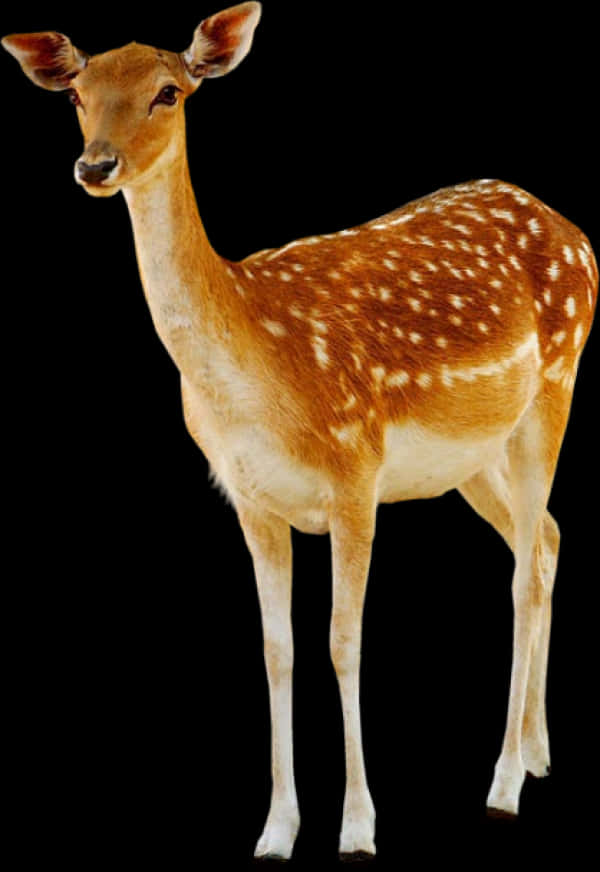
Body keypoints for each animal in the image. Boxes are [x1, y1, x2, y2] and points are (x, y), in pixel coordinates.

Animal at [3, 1, 597, 860]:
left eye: (168, 93)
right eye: (77, 94)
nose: (95, 166)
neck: (257, 376)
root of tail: (576, 232)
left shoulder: (356, 471)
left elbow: (343, 643)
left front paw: (357, 827)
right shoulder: (250, 497)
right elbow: (276, 651)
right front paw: (277, 830)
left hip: (555, 387)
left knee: (525, 568)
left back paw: (506, 782)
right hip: (472, 459)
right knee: (545, 537)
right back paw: (540, 750)